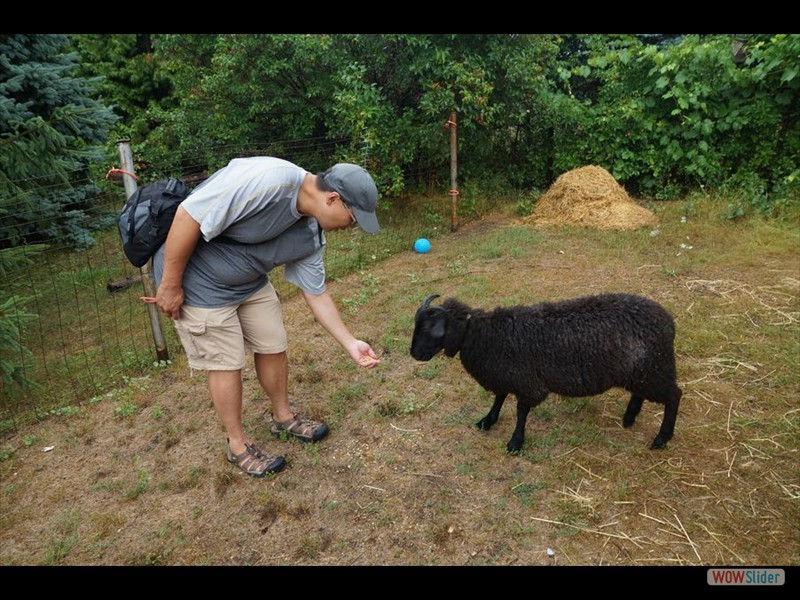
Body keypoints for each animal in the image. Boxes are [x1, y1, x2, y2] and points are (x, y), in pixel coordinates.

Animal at [410, 293, 682, 453]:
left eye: (428, 328)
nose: (413, 354)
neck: (481, 334)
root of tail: (669, 322)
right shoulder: (504, 374)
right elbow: (499, 397)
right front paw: (488, 420)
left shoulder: (527, 382)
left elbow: (521, 410)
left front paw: (515, 442)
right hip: (642, 370)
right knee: (641, 392)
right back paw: (629, 417)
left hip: (655, 368)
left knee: (674, 396)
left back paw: (661, 438)